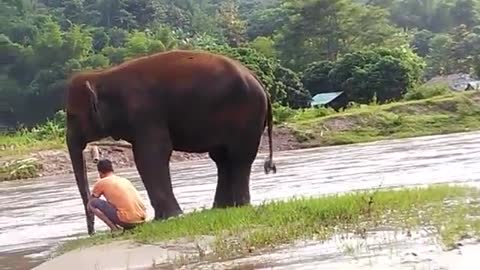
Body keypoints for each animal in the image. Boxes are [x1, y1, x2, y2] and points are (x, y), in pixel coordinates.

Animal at [65, 49, 280, 234]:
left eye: (72, 117)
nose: (91, 232)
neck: (102, 75)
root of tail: (260, 82)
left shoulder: (146, 114)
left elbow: (150, 156)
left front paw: (169, 217)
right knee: (222, 158)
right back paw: (222, 207)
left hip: (248, 115)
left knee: (239, 158)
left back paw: (240, 205)